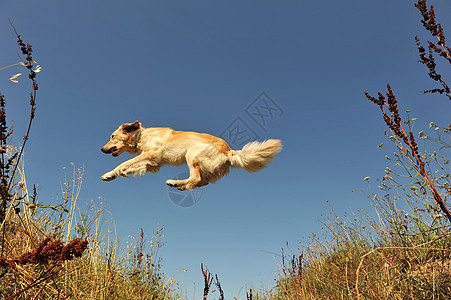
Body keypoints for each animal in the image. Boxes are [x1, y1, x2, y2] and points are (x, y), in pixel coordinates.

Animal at [100, 121, 280, 190]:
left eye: (112, 136)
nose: (102, 149)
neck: (141, 136)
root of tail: (228, 150)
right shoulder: (153, 164)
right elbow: (129, 167)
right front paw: (114, 175)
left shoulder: (151, 155)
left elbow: (125, 163)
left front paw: (110, 173)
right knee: (202, 181)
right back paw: (182, 186)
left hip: (192, 154)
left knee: (196, 178)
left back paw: (175, 182)